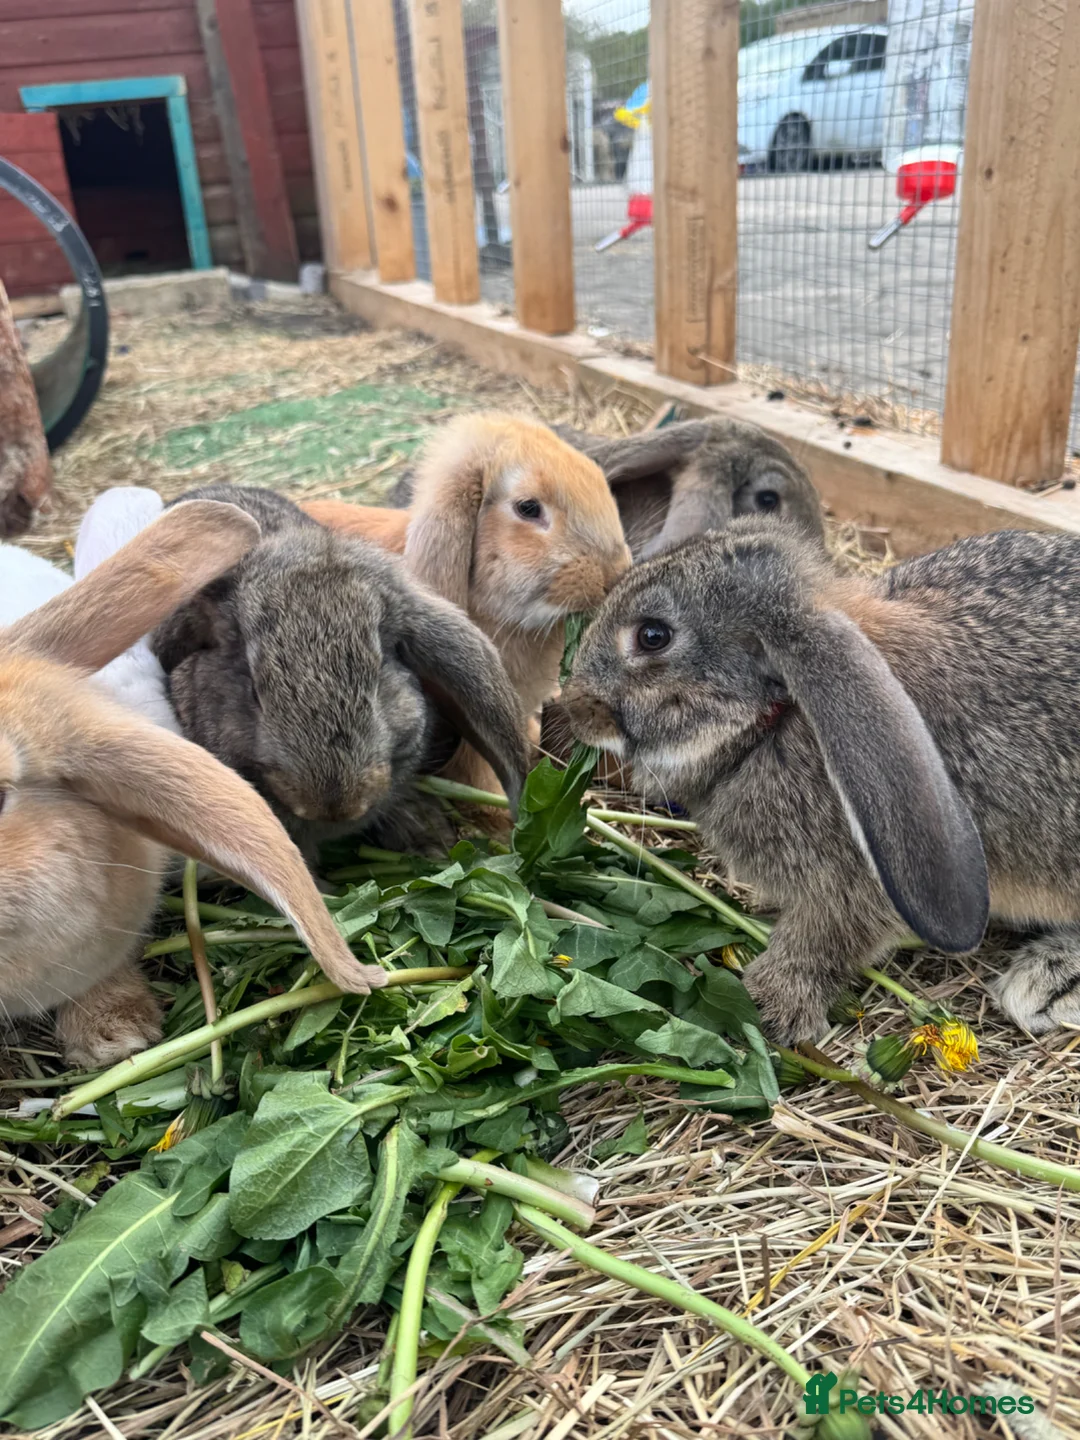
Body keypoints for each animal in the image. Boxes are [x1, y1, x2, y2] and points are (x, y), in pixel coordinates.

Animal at [560, 519, 1080, 1046]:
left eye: (653, 636)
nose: (573, 705)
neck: (777, 716)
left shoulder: (852, 888)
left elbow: (821, 944)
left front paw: (767, 1006)